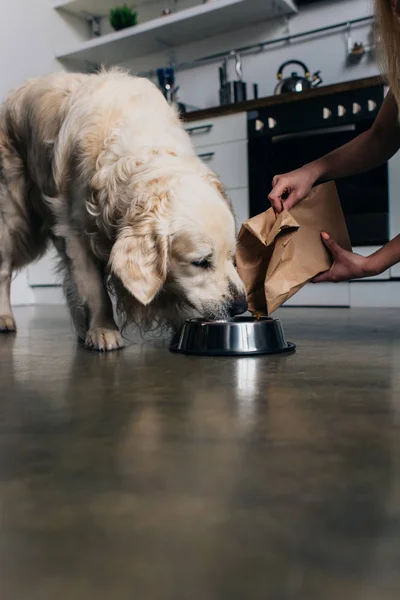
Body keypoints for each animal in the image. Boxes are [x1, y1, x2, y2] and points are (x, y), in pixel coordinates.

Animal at [0, 69, 247, 352]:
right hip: (14, 218)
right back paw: (5, 317)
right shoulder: (75, 234)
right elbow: (94, 289)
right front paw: (103, 329)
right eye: (201, 262)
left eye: (233, 257)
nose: (242, 305)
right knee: (4, 269)